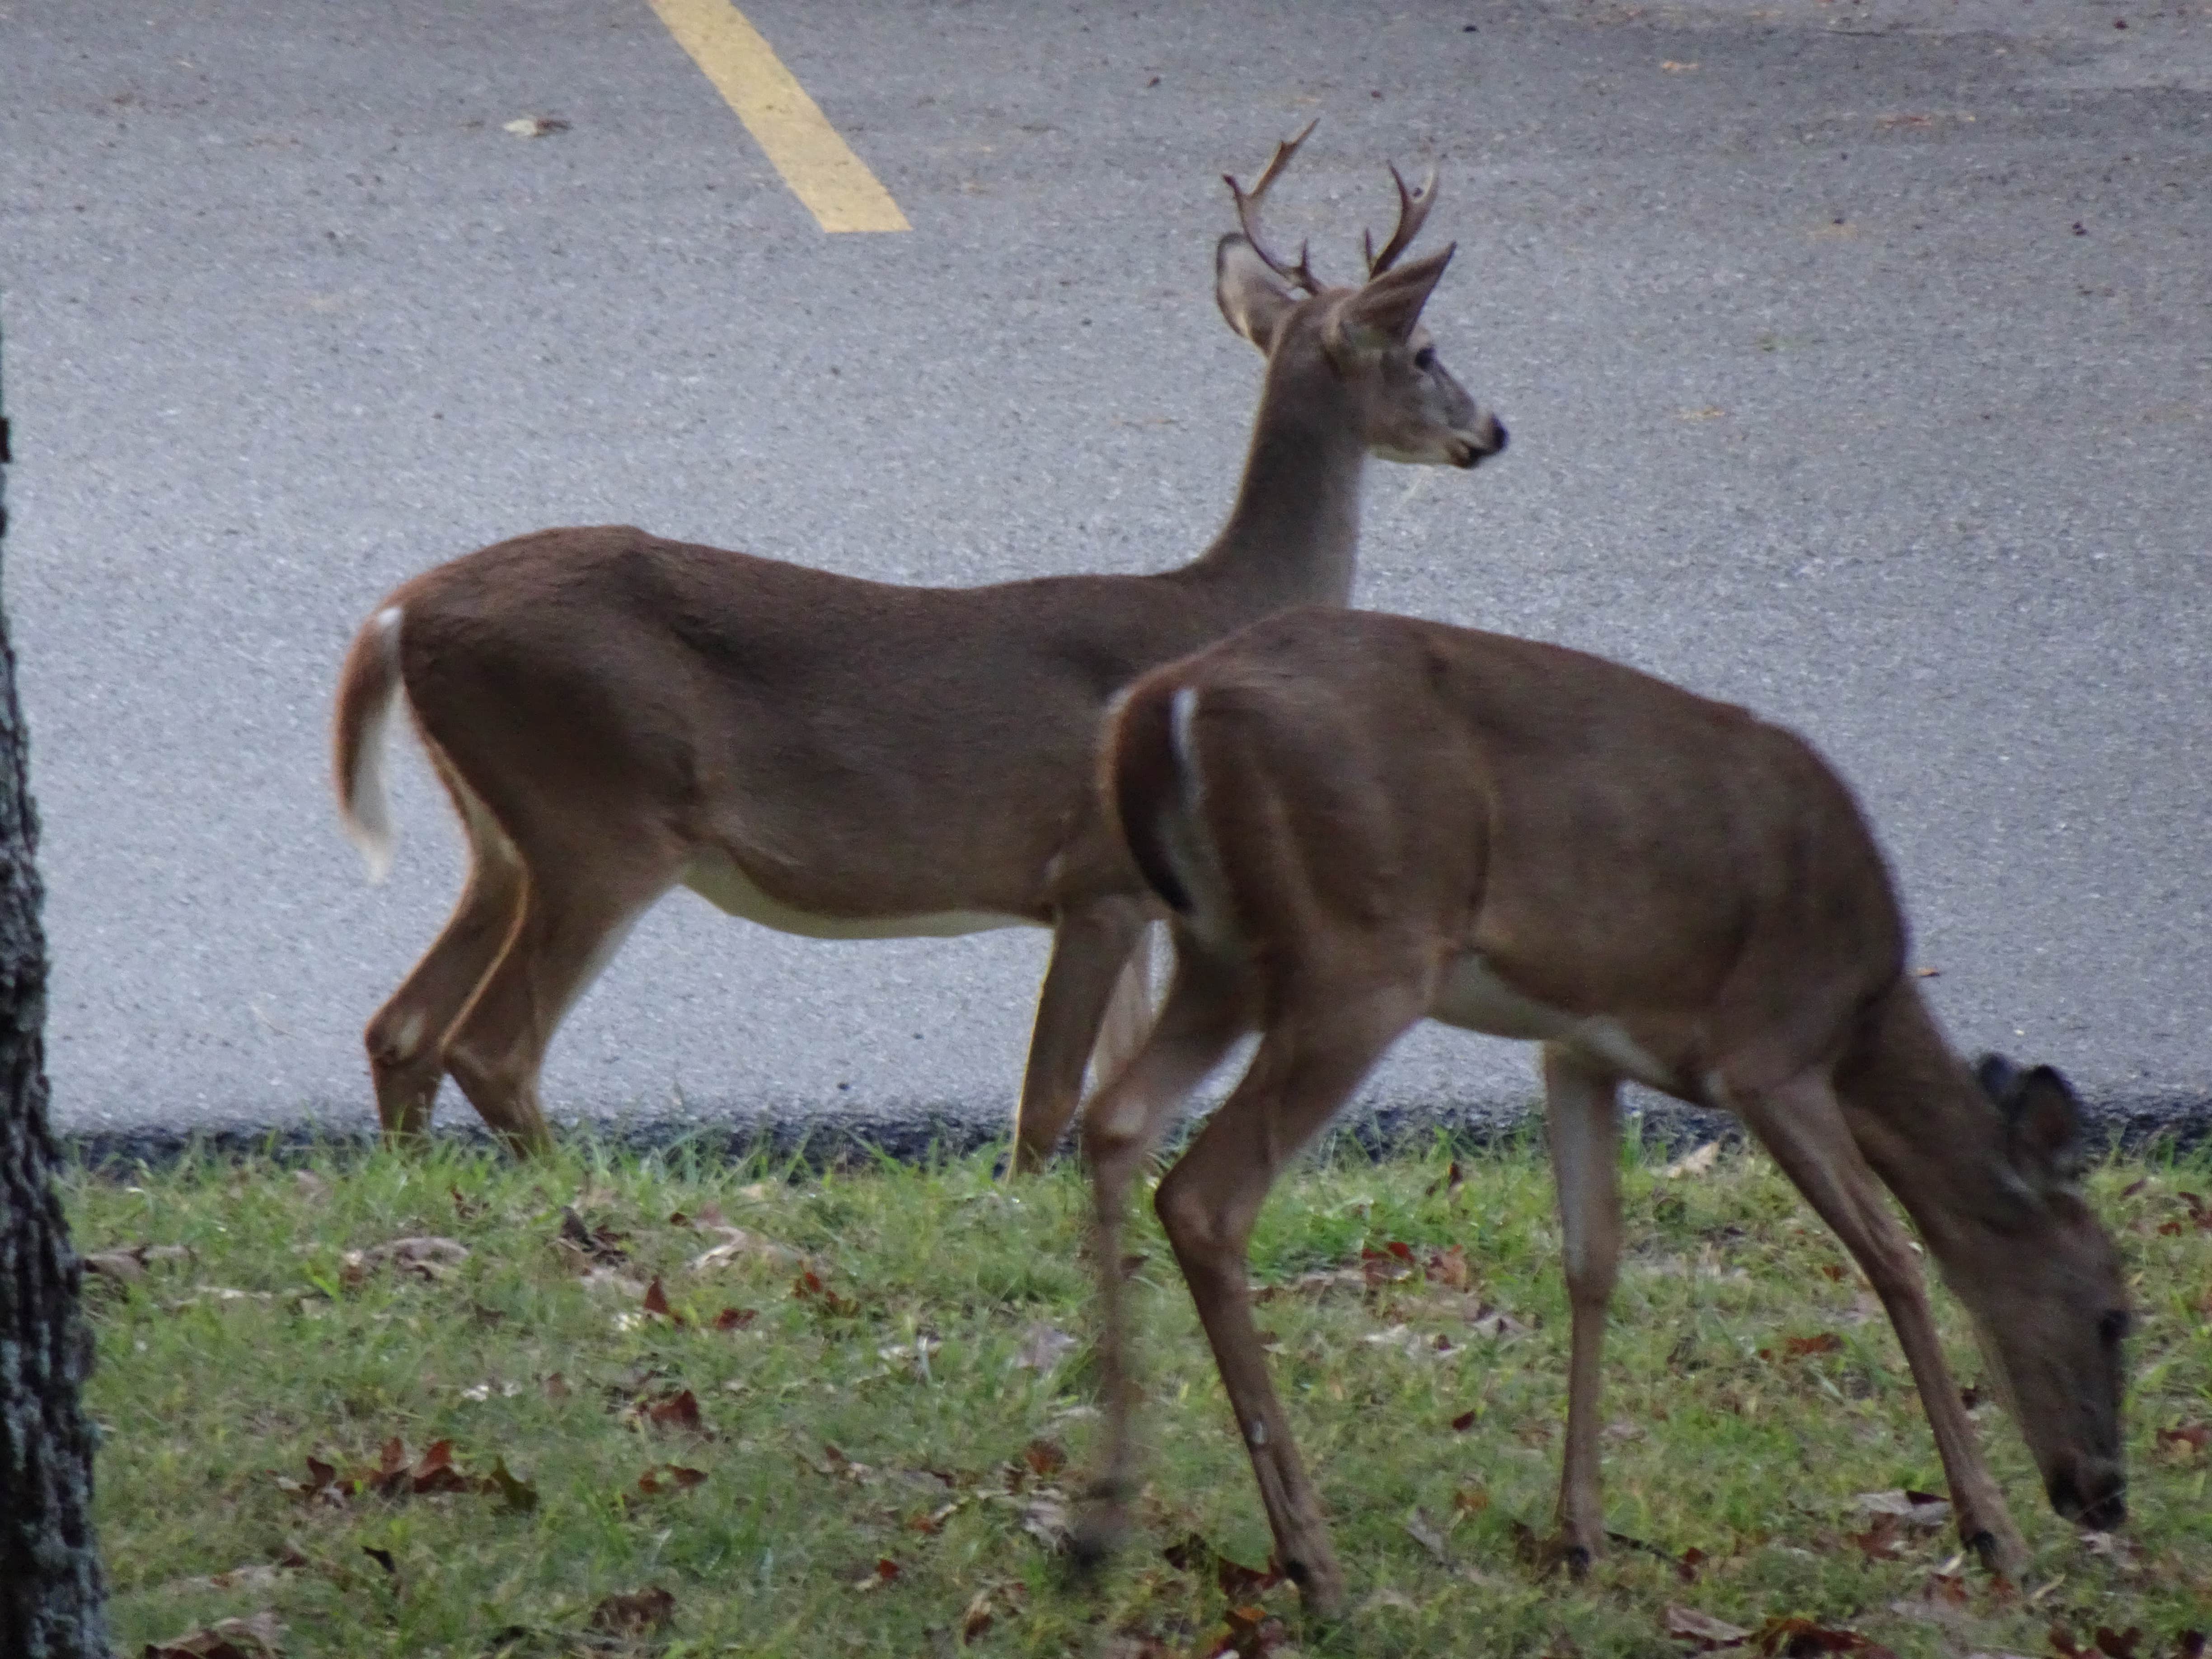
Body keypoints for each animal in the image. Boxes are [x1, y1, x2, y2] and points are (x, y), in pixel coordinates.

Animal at [327, 130, 1504, 1159]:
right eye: (1427, 349)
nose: (1492, 431)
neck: (1219, 609)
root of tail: (403, 611)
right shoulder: (1095, 879)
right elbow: (1047, 1104)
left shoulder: (1128, 900)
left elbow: (1107, 1096)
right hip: (602, 815)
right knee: (492, 1045)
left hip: (503, 834)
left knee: (401, 1026)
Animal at [1079, 606, 2132, 1619]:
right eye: (2116, 1315)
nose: (2106, 1498)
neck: (1863, 1014)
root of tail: (1163, 703)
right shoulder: (1772, 1050)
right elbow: (1894, 1258)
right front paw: (1992, 1530)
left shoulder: (1580, 1047)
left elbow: (1592, 1260)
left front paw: (1580, 1535)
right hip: (1359, 955)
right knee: (1204, 1194)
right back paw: (1313, 1565)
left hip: (1221, 953)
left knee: (1115, 1121)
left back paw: (1105, 1521)